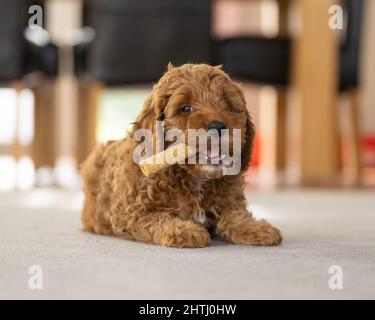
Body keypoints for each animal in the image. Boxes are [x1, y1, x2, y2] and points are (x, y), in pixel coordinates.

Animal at [81, 62, 282, 248]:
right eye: (186, 109)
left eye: (228, 105)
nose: (218, 126)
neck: (194, 178)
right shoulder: (131, 213)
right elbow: (156, 219)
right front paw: (184, 230)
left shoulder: (230, 198)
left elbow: (233, 215)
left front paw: (256, 228)